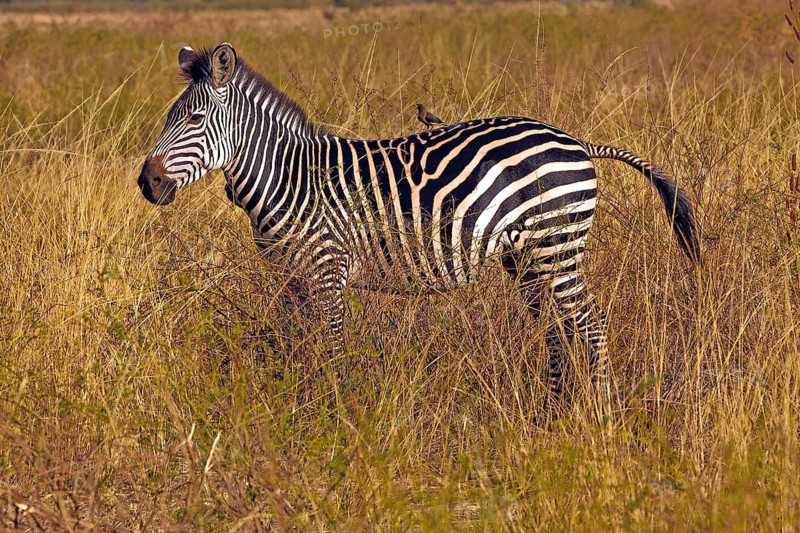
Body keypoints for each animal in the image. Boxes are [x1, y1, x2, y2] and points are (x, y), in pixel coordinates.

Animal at [137, 42, 699, 409]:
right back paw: (552, 414)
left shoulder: (326, 268)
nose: (147, 183)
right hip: (528, 260)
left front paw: (332, 416)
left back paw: (599, 414)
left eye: (194, 120)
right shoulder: (290, 278)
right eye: (169, 118)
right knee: (559, 333)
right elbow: (295, 345)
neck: (289, 177)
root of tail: (577, 141)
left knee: (590, 325)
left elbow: (332, 347)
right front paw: (297, 408)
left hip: (555, 249)